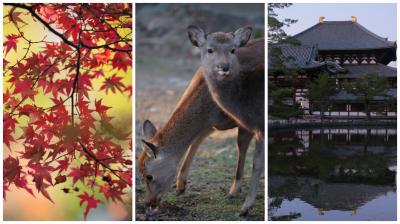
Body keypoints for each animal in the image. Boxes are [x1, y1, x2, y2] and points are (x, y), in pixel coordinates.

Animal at [188, 25, 266, 215]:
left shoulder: (261, 125)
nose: (224, 67)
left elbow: (257, 163)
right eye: (210, 49)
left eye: (233, 49)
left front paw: (245, 208)